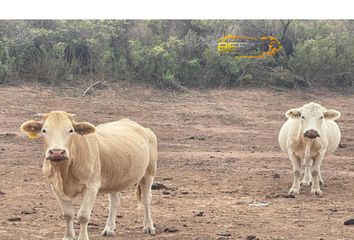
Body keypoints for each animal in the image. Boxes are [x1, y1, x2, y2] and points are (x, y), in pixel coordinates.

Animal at [20, 112, 157, 240]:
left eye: (71, 130)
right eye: (44, 130)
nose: (57, 152)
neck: (64, 172)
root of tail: (144, 129)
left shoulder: (92, 186)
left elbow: (83, 215)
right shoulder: (55, 187)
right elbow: (67, 214)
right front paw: (68, 236)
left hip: (149, 172)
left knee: (146, 198)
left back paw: (148, 226)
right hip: (114, 178)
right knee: (115, 200)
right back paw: (109, 228)